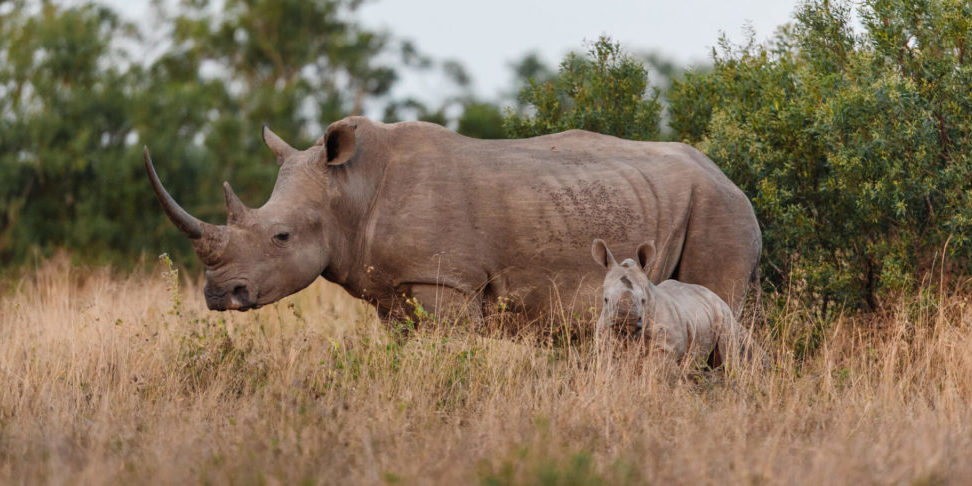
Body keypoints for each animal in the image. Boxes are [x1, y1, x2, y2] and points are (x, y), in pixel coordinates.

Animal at [144, 116, 761, 326]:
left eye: (281, 236)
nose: (219, 296)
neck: (349, 191)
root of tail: (730, 177)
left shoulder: (447, 283)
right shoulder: (394, 289)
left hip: (720, 211)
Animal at [592, 239, 765, 368]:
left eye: (643, 300)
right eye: (605, 300)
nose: (627, 320)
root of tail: (712, 294)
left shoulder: (667, 348)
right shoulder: (604, 343)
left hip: (724, 315)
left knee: (729, 356)